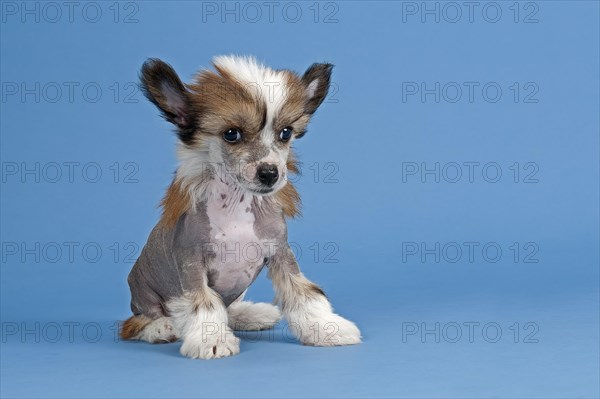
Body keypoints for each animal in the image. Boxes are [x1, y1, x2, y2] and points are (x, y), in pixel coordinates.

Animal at [119, 55, 358, 360]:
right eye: (231, 134)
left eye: (285, 133)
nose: (269, 173)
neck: (237, 207)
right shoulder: (191, 265)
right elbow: (204, 304)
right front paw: (212, 340)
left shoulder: (280, 253)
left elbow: (303, 293)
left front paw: (326, 328)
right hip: (145, 297)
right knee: (134, 324)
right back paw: (160, 328)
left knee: (229, 309)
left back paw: (251, 315)